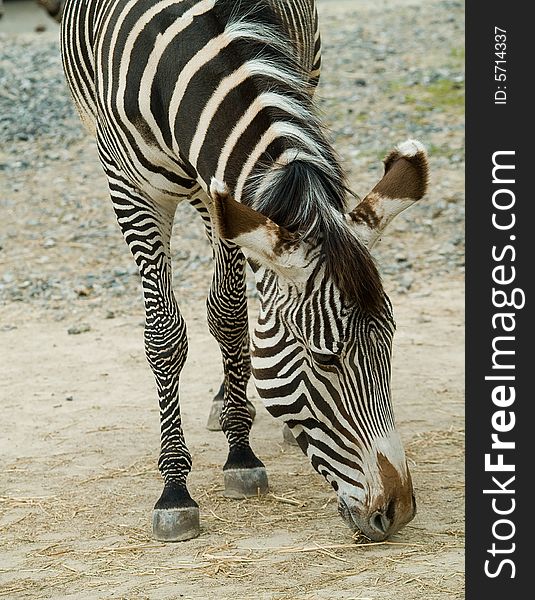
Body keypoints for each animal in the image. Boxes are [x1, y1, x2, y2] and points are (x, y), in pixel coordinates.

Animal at [58, 0, 430, 544]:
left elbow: (230, 316)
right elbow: (165, 335)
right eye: (325, 360)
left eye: (391, 344)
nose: (397, 511)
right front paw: (175, 489)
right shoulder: (129, 184)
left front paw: (240, 452)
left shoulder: (223, 185)